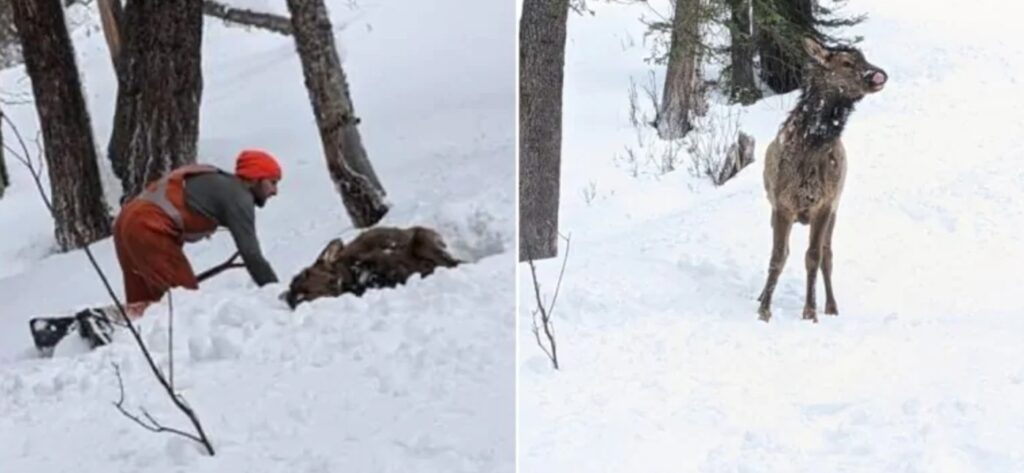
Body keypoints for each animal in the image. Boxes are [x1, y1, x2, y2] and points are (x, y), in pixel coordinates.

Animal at [757, 37, 887, 323]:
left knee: (827, 255)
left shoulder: (824, 205)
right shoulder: (783, 204)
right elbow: (777, 257)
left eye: (865, 58)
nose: (879, 74)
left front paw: (810, 311)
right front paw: (764, 310)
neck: (810, 146)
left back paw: (831, 306)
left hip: (834, 212)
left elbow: (813, 257)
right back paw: (762, 295)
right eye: (847, 62)